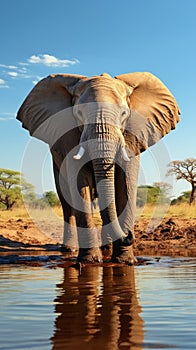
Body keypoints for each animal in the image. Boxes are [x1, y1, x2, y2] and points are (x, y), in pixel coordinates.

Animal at [17, 72, 181, 262]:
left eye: (124, 113)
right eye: (79, 113)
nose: (129, 234)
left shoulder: (132, 136)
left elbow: (126, 184)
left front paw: (126, 261)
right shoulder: (69, 137)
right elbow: (80, 185)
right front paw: (90, 262)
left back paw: (106, 248)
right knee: (66, 200)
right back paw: (70, 250)